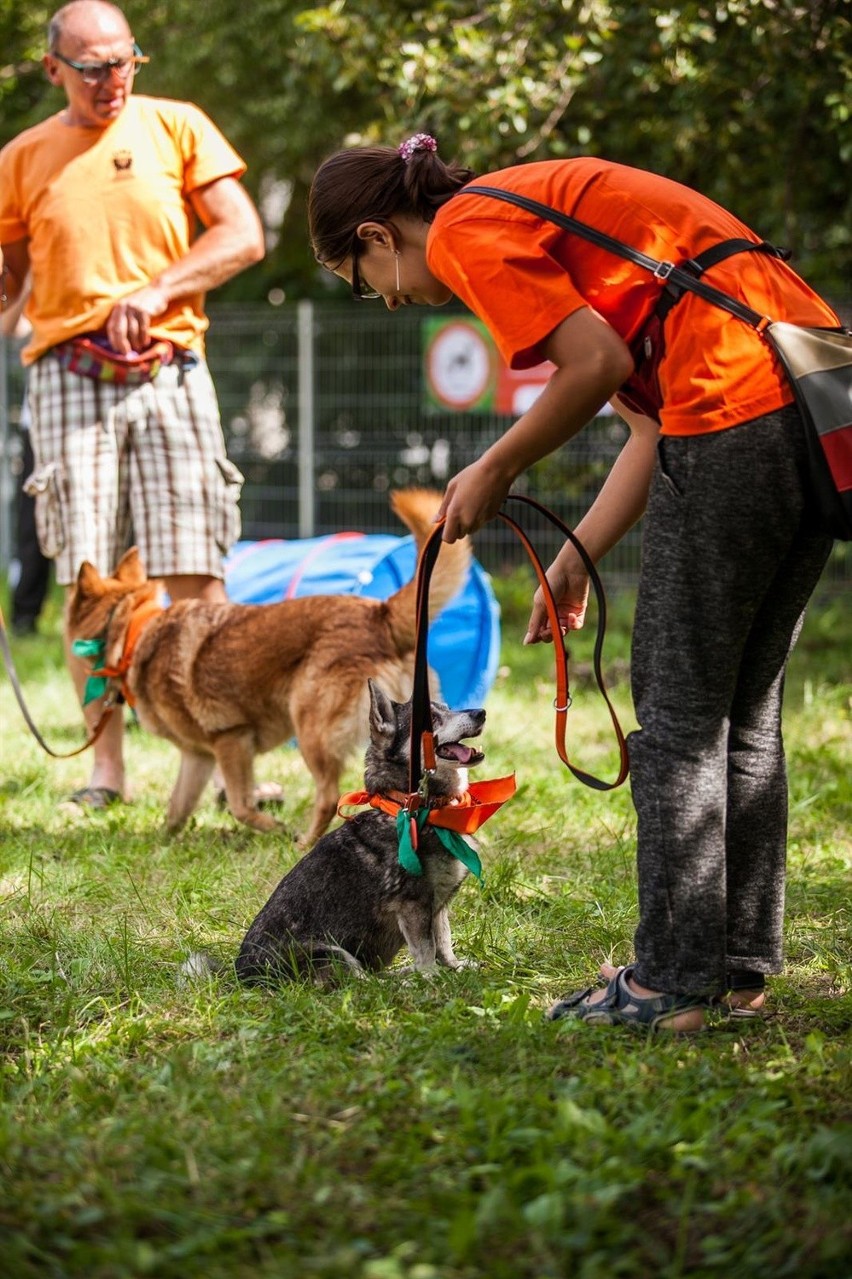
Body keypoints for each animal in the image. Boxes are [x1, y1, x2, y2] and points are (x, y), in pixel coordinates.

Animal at [63, 493, 468, 844]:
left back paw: (303, 843)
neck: (133, 632)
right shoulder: (197, 756)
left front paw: (273, 828)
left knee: (327, 795)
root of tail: (379, 614)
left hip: (309, 729)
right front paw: (160, 843)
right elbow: (177, 807)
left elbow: (241, 805)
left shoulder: (231, 739)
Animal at [234, 680, 483, 987]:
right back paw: (403, 980)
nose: (481, 713)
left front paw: (454, 967)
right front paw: (431, 978)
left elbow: (443, 942)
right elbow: (425, 949)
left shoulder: (437, 906)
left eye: (449, 709)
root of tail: (243, 976)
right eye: (431, 719)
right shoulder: (413, 904)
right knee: (366, 983)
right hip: (333, 953)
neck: (418, 807)